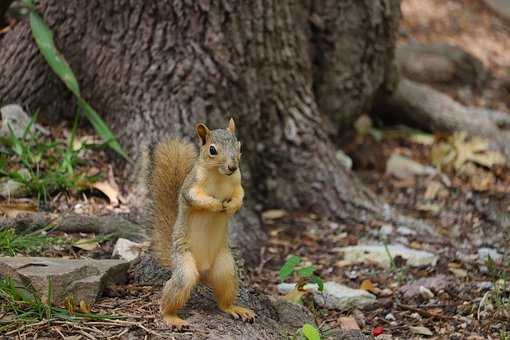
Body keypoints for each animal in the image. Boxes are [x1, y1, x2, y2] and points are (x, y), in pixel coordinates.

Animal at [146, 118, 254, 328]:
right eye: (212, 150)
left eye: (239, 146)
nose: (232, 167)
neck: (220, 176)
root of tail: (202, 273)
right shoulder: (191, 186)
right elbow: (195, 197)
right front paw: (215, 205)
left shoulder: (237, 182)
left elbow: (241, 195)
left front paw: (232, 206)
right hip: (185, 266)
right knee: (174, 290)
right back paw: (171, 317)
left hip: (225, 270)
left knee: (224, 300)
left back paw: (235, 308)